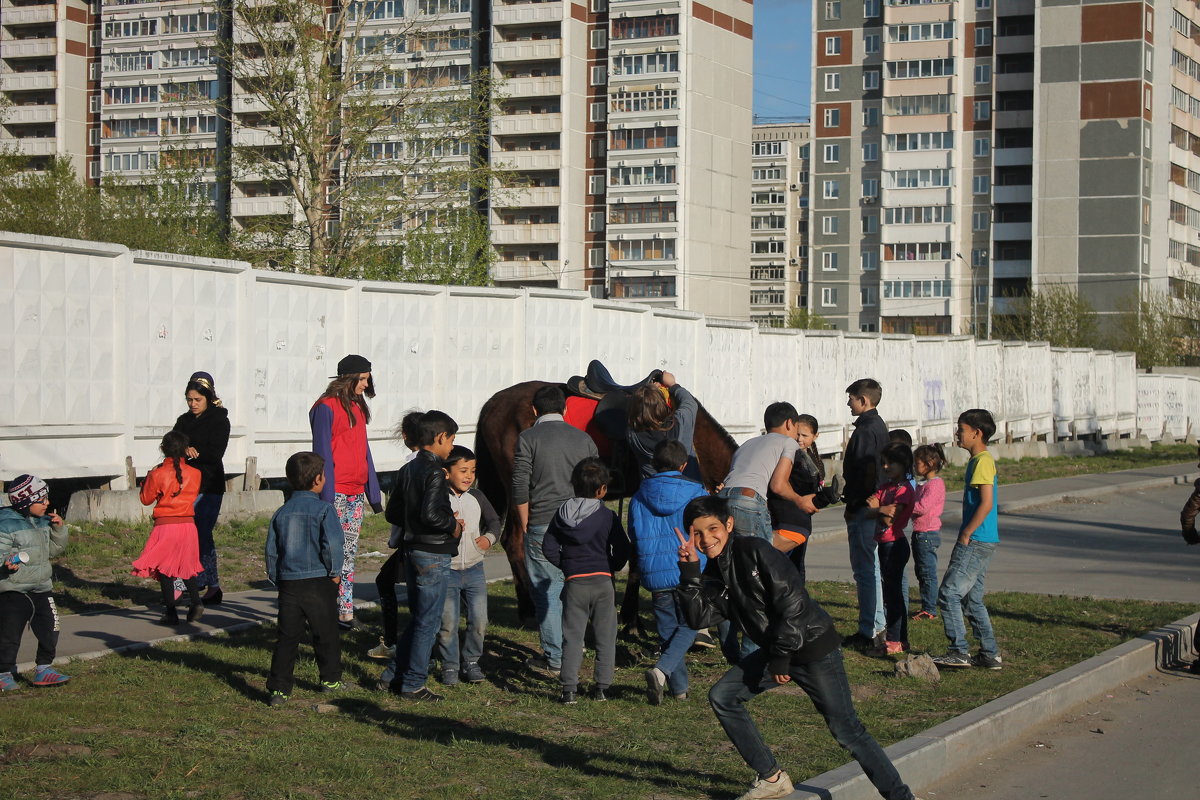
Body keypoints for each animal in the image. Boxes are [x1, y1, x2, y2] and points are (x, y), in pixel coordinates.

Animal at [470, 381, 734, 623]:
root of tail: (494, 402)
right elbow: (639, 554)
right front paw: (630, 617)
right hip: (519, 489)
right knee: (513, 541)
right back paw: (528, 609)